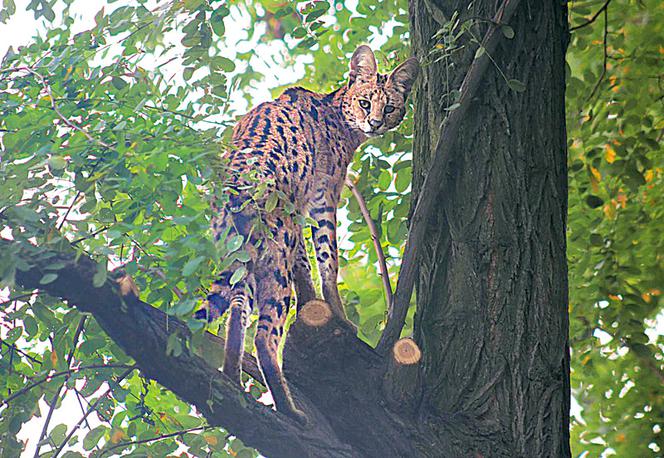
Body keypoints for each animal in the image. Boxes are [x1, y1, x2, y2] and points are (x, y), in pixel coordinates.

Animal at [196, 44, 420, 420]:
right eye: (365, 103)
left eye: (389, 107)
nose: (375, 123)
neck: (337, 112)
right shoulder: (322, 199)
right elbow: (328, 260)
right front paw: (338, 316)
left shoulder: (300, 208)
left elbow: (306, 262)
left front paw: (314, 303)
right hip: (274, 261)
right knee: (264, 338)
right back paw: (288, 410)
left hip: (247, 259)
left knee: (238, 310)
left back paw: (231, 377)